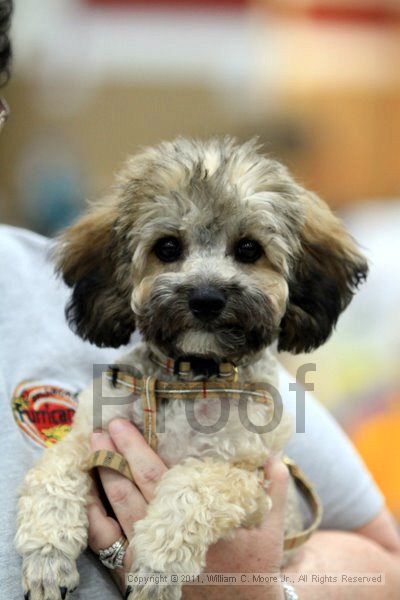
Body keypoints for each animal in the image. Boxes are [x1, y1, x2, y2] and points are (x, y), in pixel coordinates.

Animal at [15, 138, 368, 596]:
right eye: (167, 248)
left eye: (249, 249)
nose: (206, 298)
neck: (189, 376)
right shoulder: (86, 438)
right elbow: (51, 475)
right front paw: (46, 557)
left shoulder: (242, 475)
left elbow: (190, 489)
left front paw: (155, 570)